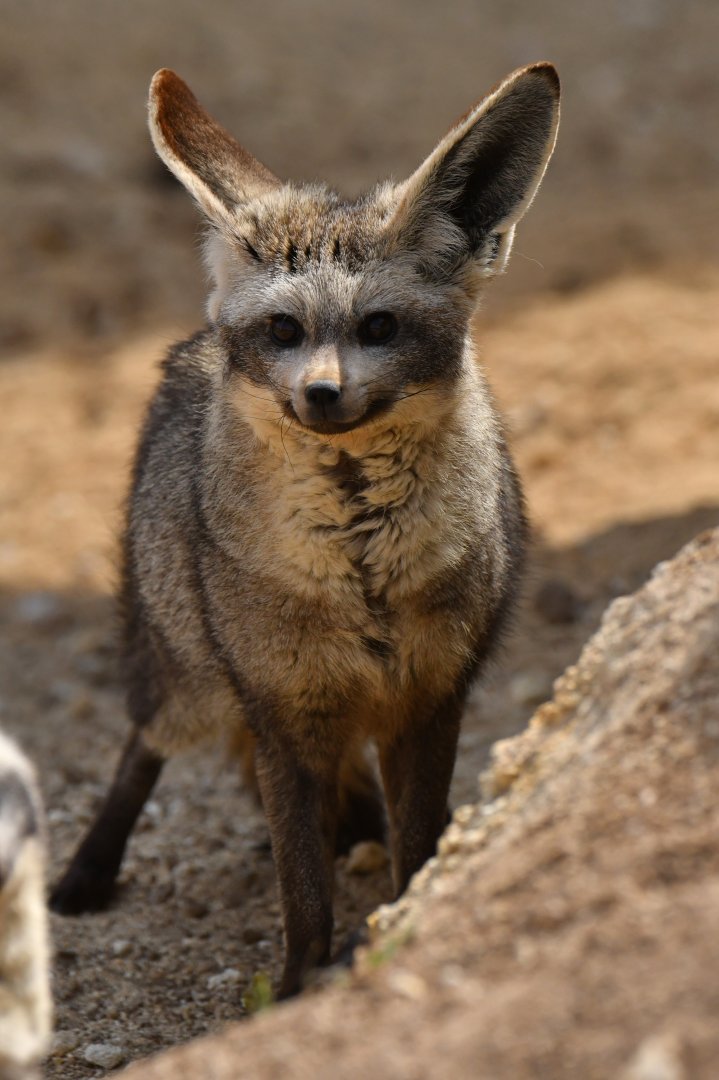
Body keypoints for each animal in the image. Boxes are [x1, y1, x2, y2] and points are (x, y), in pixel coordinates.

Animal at [51, 63, 560, 998]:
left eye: (379, 327)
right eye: (283, 330)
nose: (321, 394)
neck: (361, 571)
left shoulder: (430, 702)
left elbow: (414, 845)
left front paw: (402, 919)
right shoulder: (283, 713)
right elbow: (302, 891)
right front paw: (293, 990)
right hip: (184, 679)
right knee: (142, 743)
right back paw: (86, 872)